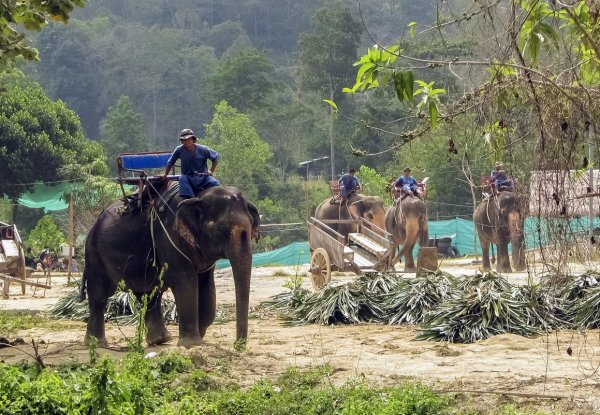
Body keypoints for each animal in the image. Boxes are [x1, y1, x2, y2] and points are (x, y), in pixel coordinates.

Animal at [78, 185, 258, 348]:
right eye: (221, 230)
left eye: (251, 227)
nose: (237, 346)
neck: (198, 195)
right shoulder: (168, 236)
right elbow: (185, 281)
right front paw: (192, 344)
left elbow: (207, 288)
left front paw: (199, 338)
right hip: (93, 252)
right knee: (100, 294)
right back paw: (96, 343)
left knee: (149, 292)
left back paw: (160, 340)